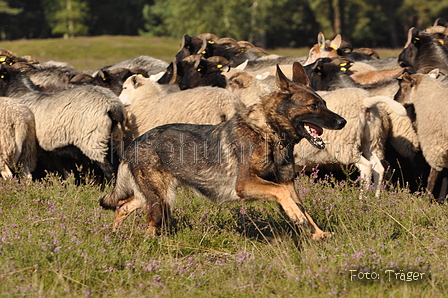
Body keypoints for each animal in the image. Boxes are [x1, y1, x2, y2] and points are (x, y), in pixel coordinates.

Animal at [100, 62, 346, 240]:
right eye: (313, 106)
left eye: (324, 103)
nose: (342, 122)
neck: (269, 132)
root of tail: (134, 143)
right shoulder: (246, 184)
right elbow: (282, 195)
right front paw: (295, 216)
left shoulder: (287, 184)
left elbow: (302, 208)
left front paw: (318, 233)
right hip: (161, 199)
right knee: (149, 223)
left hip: (152, 196)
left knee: (123, 207)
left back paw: (114, 236)